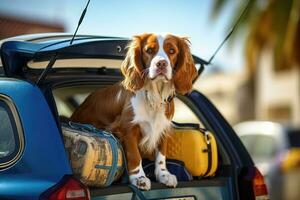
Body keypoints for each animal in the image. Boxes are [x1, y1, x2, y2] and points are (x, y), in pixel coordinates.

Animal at [70, 33, 197, 191]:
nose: (161, 64)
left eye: (172, 51)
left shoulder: (163, 128)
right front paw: (139, 178)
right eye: (149, 50)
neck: (154, 95)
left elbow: (161, 155)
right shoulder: (127, 128)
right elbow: (135, 156)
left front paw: (164, 174)